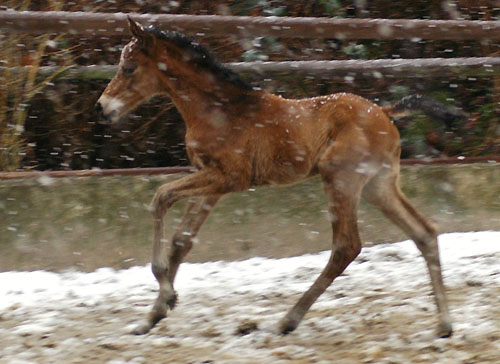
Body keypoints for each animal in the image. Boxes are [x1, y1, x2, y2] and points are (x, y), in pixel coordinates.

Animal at [95, 17, 458, 338]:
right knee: (424, 232)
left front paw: (165, 295)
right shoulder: (211, 179)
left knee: (347, 246)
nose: (102, 107)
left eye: (129, 67)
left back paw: (288, 320)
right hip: (377, 186)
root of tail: (385, 112)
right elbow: (182, 241)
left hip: (340, 179)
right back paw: (444, 325)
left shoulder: (229, 177)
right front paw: (152, 317)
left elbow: (160, 198)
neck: (220, 111)